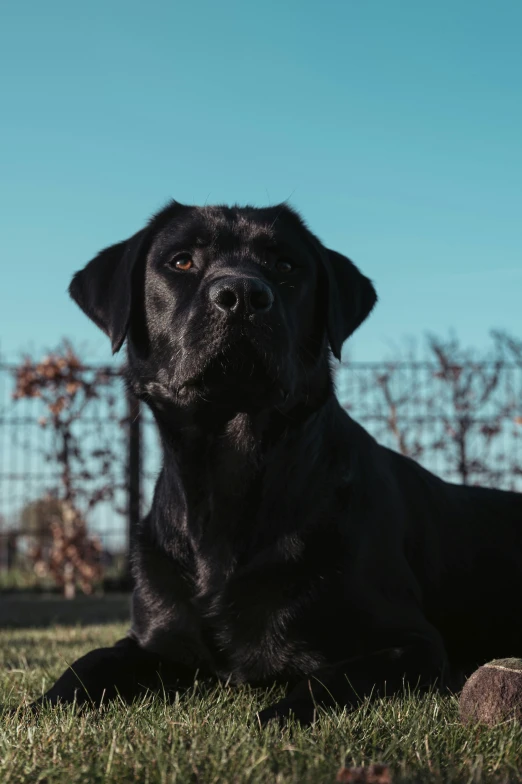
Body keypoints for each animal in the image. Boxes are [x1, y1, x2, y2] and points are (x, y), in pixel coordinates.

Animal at [36, 201, 520, 724]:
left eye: (286, 266)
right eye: (181, 261)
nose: (242, 295)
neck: (233, 472)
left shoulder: (416, 644)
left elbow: (328, 681)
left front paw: (275, 718)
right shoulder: (153, 640)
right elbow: (89, 662)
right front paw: (35, 707)